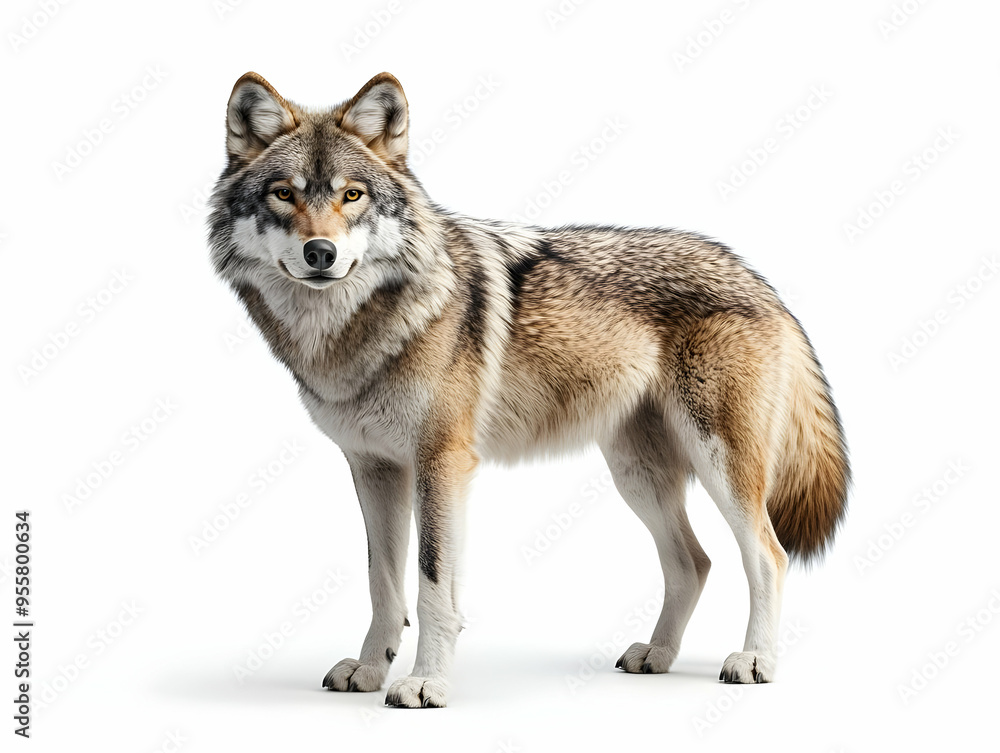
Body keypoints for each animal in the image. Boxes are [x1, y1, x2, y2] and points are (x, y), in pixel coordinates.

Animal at [208, 72, 850, 708]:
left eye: (351, 196)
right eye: (284, 194)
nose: (321, 253)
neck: (356, 330)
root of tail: (758, 277)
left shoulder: (442, 462)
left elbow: (432, 586)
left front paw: (426, 683)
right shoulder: (374, 468)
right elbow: (382, 584)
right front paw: (370, 670)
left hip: (719, 465)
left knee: (767, 555)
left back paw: (755, 660)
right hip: (636, 476)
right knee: (693, 563)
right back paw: (656, 655)